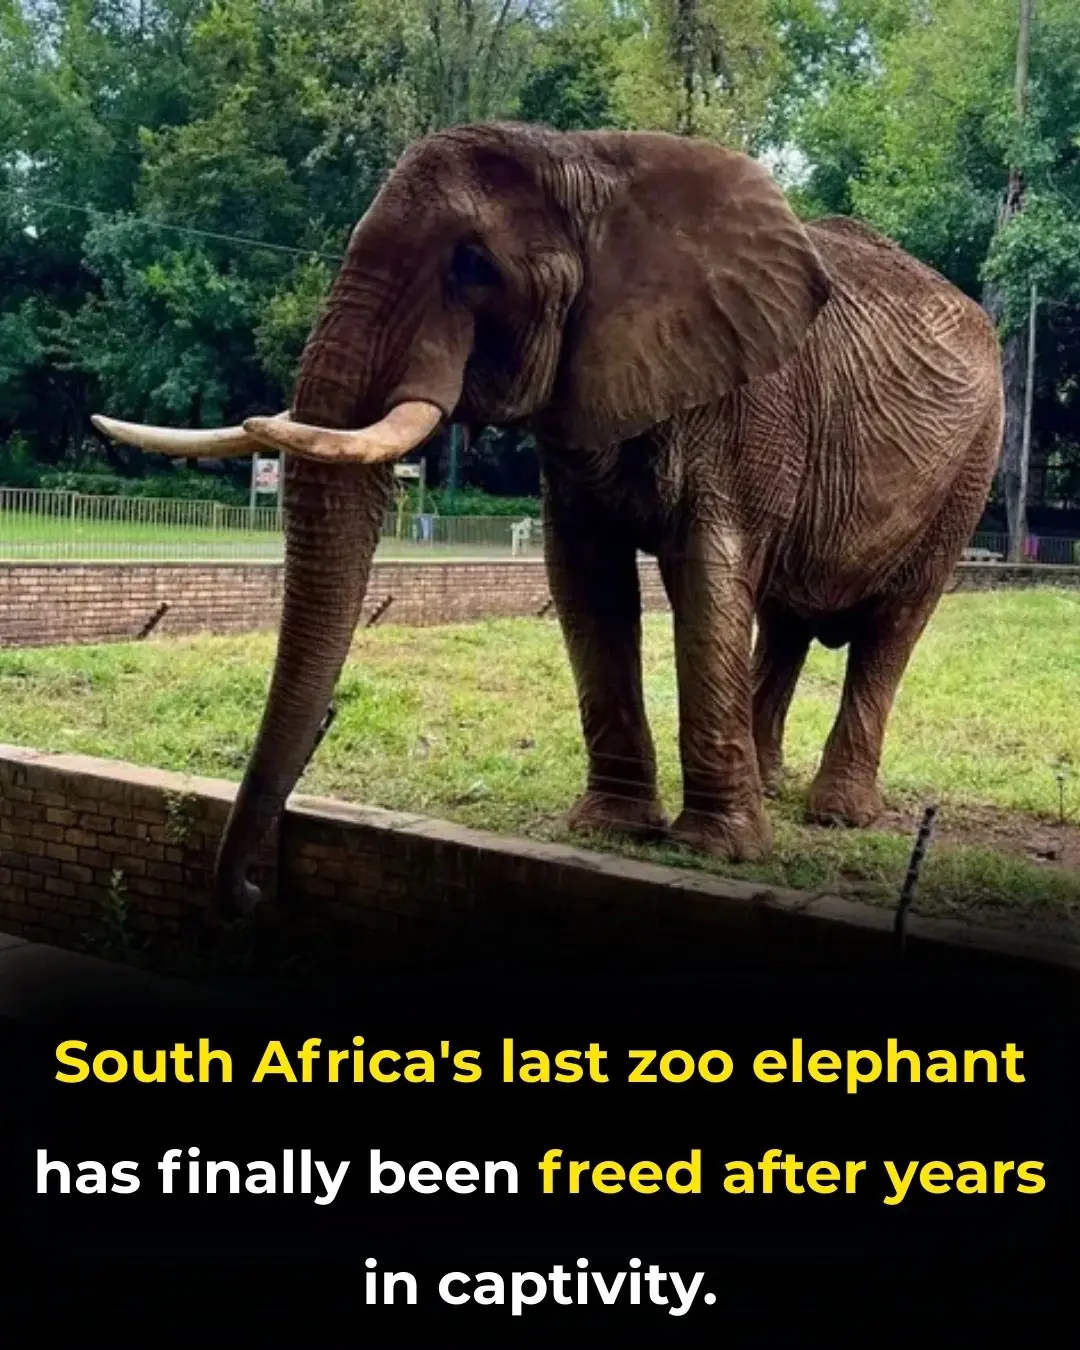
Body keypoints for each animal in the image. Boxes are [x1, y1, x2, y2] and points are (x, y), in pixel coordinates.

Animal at [92, 121, 1004, 916]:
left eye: (473, 266)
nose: (248, 893)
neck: (591, 162)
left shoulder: (750, 407)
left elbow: (708, 579)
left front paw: (712, 850)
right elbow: (586, 579)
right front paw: (613, 830)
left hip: (974, 463)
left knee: (892, 627)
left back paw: (835, 814)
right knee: (785, 618)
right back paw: (773, 786)